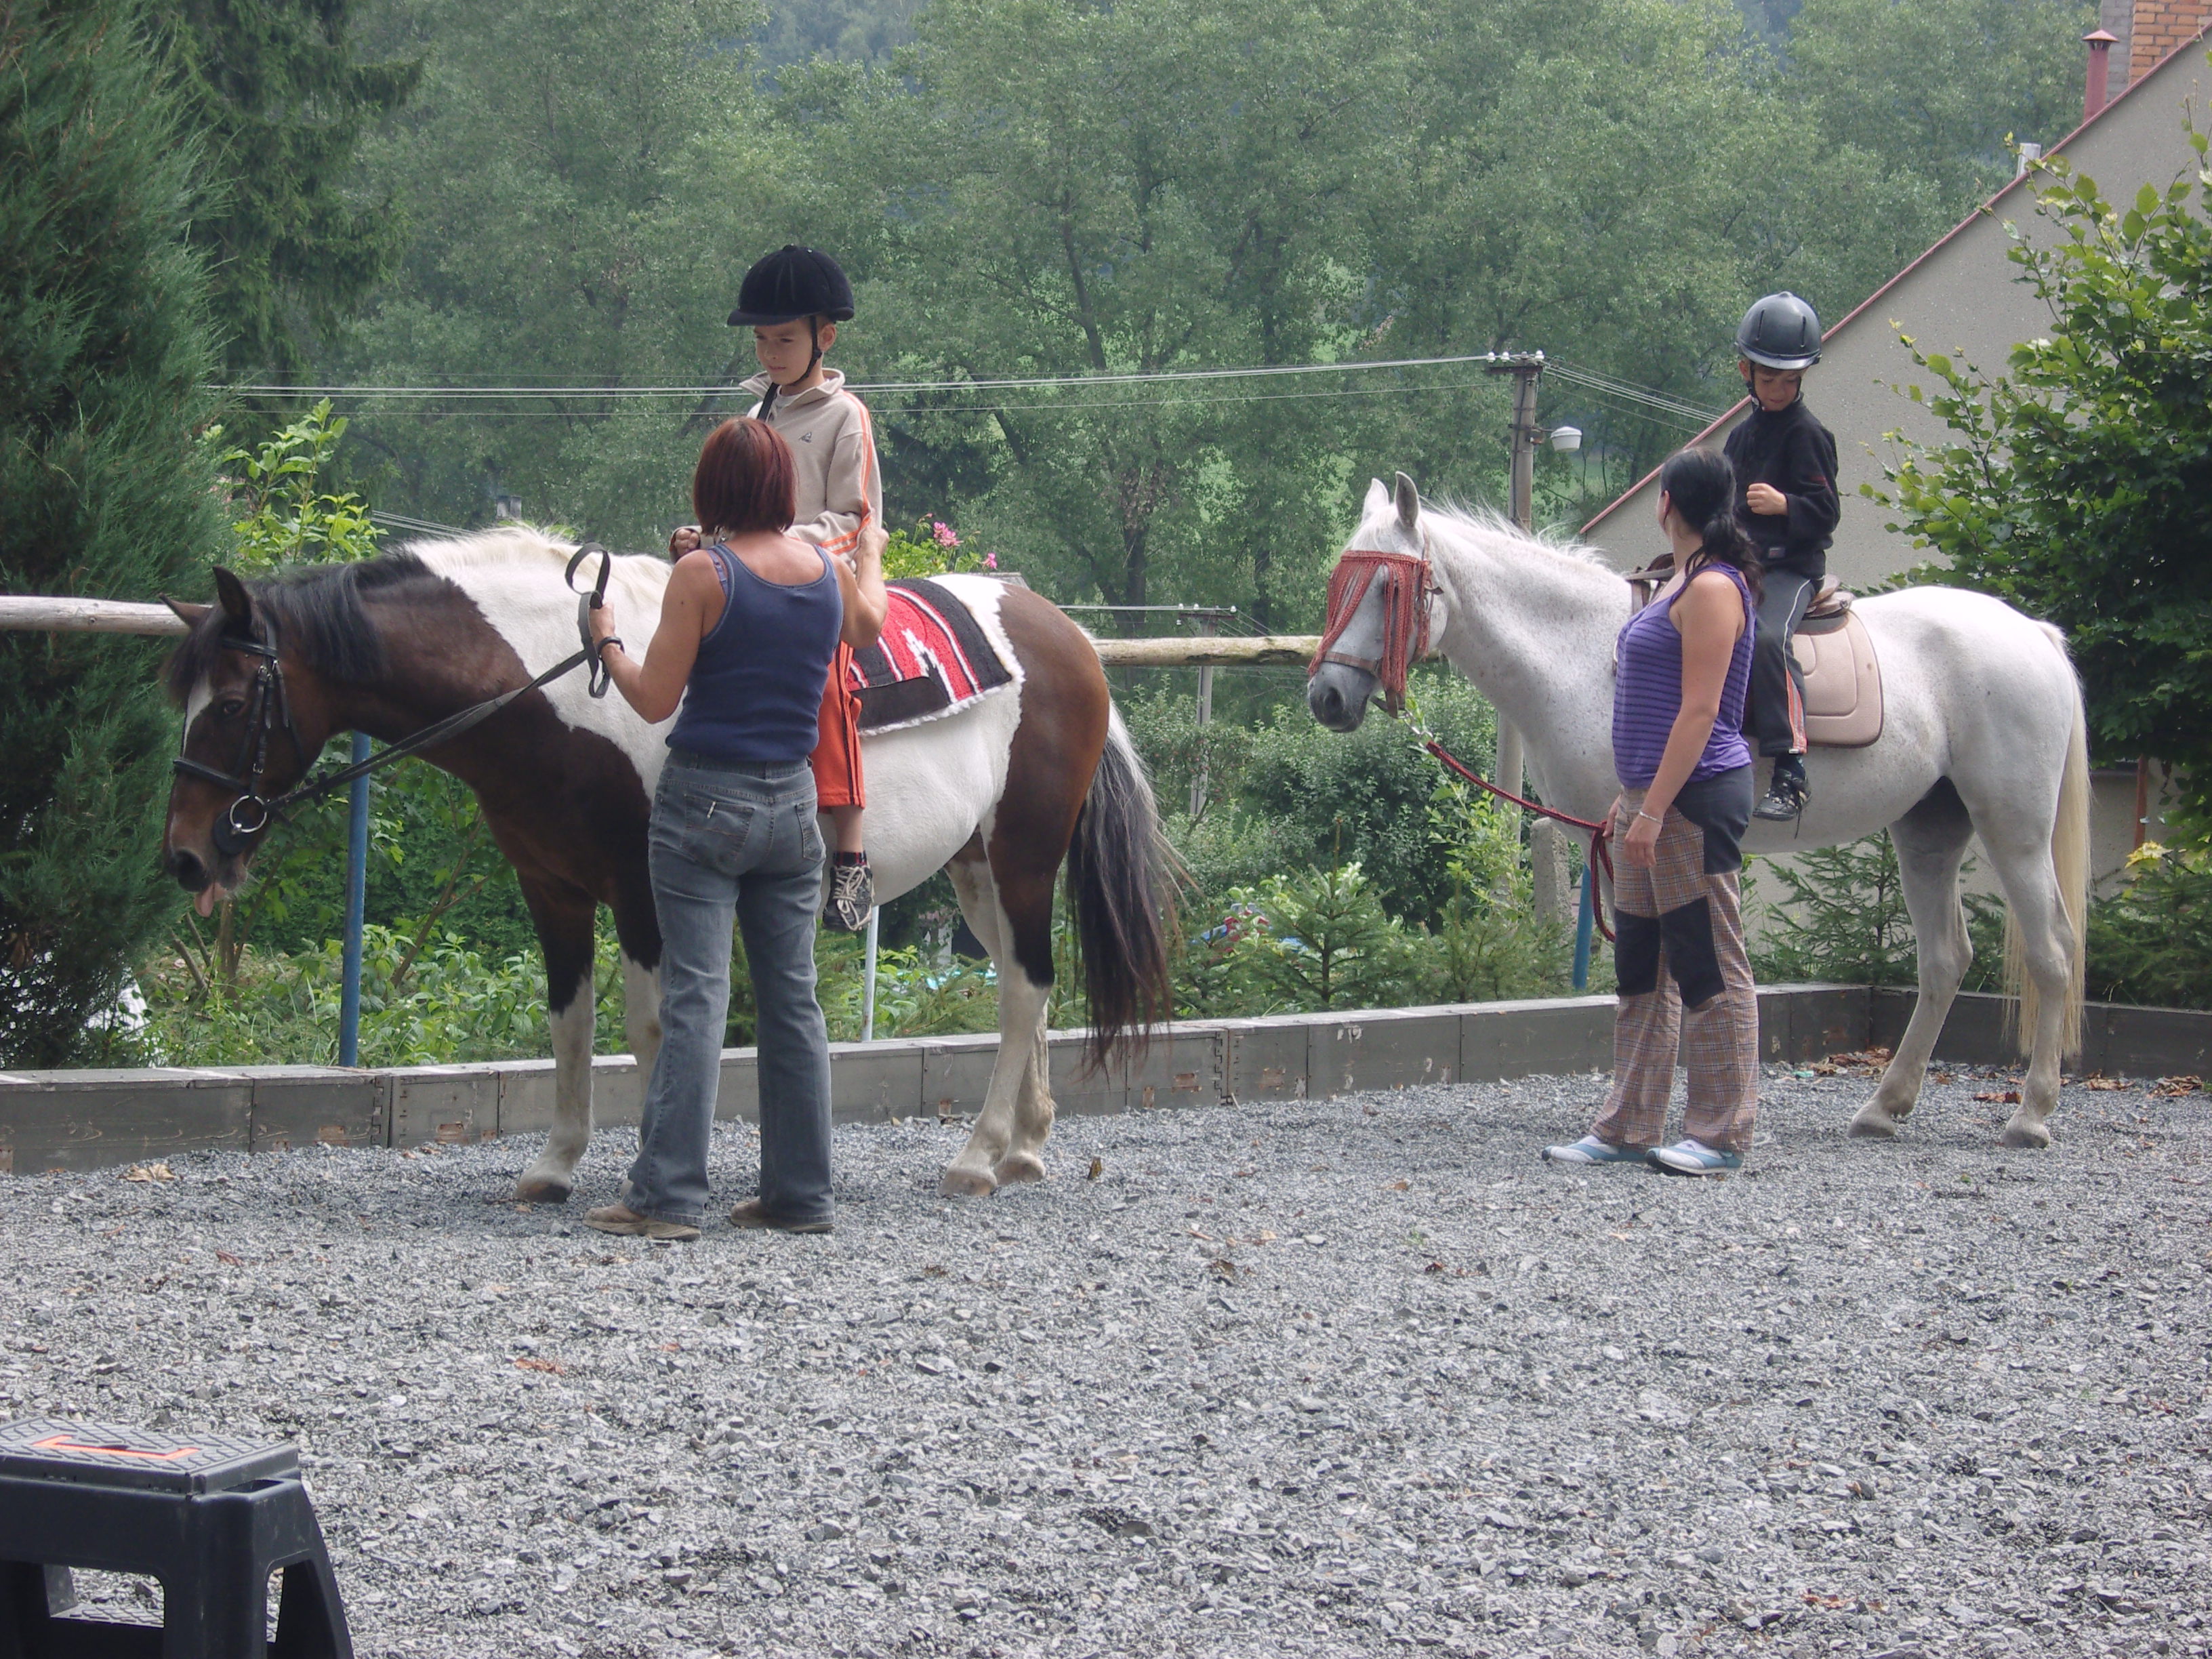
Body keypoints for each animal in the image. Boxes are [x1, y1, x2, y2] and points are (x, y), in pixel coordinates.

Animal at [158, 527, 1173, 1200]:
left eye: (236, 701)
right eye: (187, 699)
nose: (185, 856)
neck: (572, 686)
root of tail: (1066, 635)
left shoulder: (645, 889)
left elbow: (652, 1029)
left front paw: (653, 1167)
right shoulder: (554, 890)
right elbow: (568, 1024)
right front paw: (555, 1164)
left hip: (1024, 857)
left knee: (1025, 988)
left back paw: (980, 1154)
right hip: (975, 870)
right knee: (1021, 984)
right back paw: (1027, 1147)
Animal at [1307, 475, 2090, 1148]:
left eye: (1388, 585)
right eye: (1338, 582)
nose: (1326, 698)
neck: (1585, 655)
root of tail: (2035, 634)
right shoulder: (1606, 843)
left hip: (2014, 831)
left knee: (2053, 951)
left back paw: (2031, 1115)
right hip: (1929, 830)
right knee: (1945, 959)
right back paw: (1885, 1106)